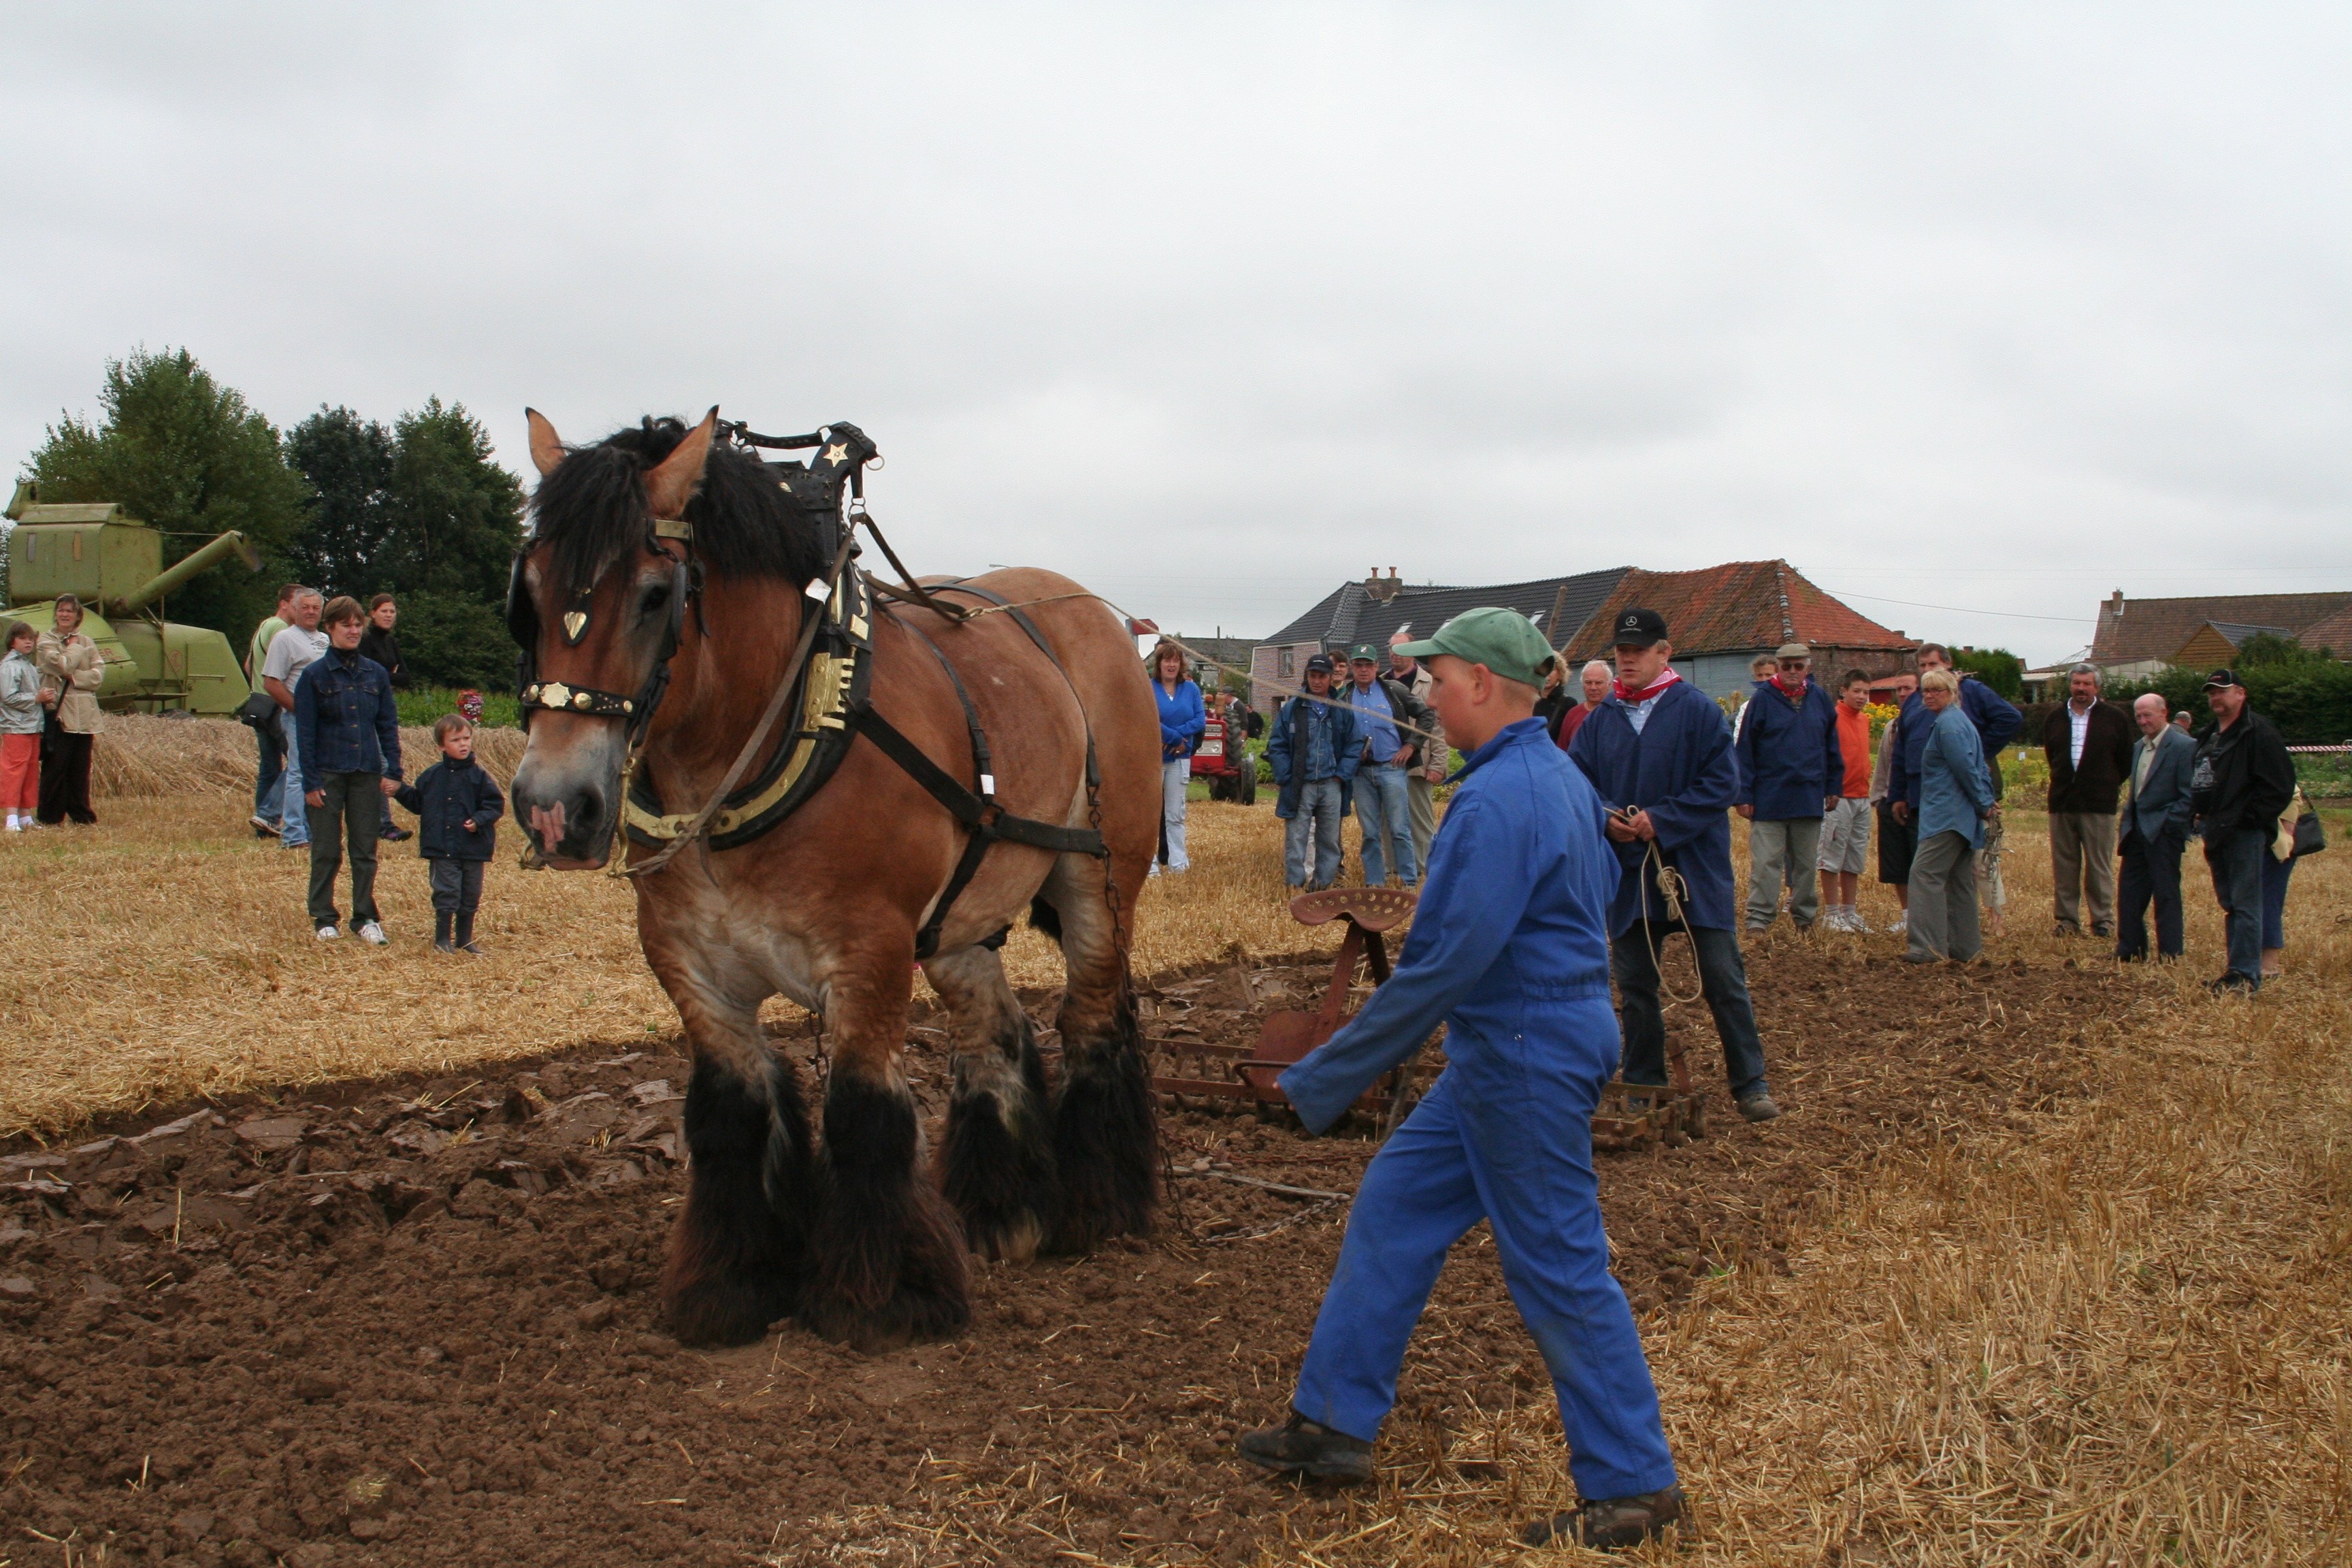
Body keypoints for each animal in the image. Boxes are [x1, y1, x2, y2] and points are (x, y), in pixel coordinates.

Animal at [517, 411, 1166, 1354]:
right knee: (993, 1034)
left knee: (1090, 1023)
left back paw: (1096, 1206)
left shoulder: (870, 953)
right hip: (961, 919)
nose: (553, 806)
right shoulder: (690, 968)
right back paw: (998, 1211)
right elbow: (730, 1111)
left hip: (1098, 880)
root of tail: (1091, 612)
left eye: (654, 594)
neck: (773, 739)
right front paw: (733, 1284)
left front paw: (880, 1299)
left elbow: (862, 1113)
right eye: (528, 590)